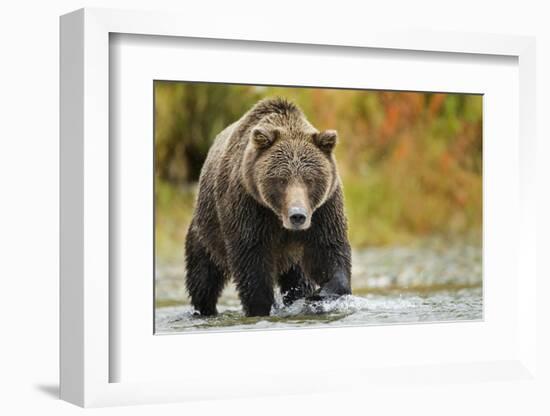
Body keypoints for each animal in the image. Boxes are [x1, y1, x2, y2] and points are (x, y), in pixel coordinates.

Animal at [183, 97, 352, 316]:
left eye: (310, 179)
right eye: (281, 180)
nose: (297, 216)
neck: (278, 217)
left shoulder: (324, 210)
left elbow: (329, 251)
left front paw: (319, 295)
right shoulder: (249, 207)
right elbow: (252, 262)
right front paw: (261, 307)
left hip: (292, 258)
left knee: (298, 279)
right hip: (207, 232)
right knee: (203, 278)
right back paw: (205, 310)